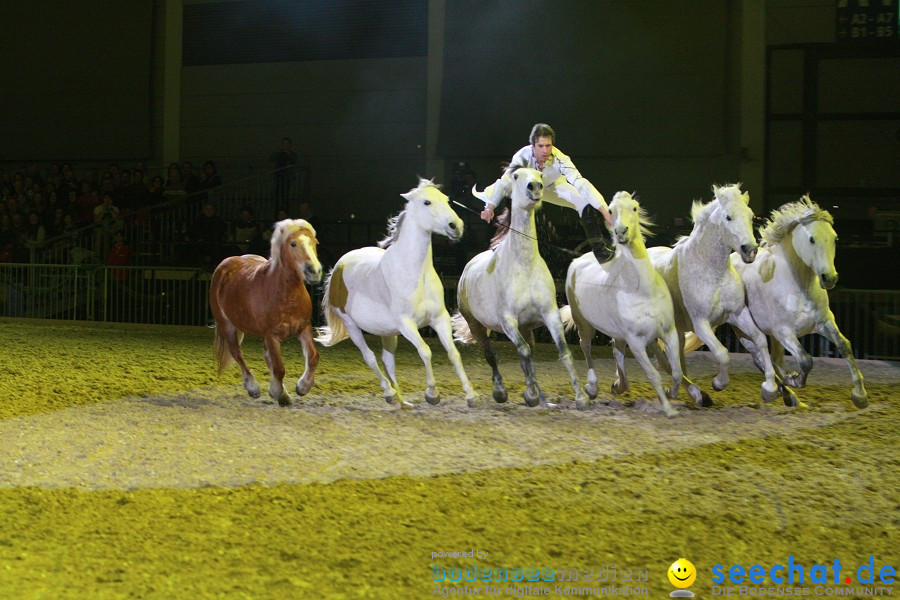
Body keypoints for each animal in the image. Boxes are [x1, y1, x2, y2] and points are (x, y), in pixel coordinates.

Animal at [209, 220, 322, 408]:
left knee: (265, 356)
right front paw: (278, 393)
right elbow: (279, 368)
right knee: (236, 353)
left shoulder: (304, 328)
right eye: (293, 244)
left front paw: (302, 387)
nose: (314, 271)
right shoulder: (271, 335)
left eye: (314, 243)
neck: (286, 294)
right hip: (227, 325)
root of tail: (225, 264)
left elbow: (313, 356)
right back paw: (253, 387)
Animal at [314, 178, 478, 408]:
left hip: (387, 332)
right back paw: (389, 392)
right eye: (426, 202)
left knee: (387, 361)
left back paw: (402, 401)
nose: (456, 226)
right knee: (370, 357)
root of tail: (339, 267)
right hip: (351, 325)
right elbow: (425, 351)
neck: (415, 273)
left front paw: (471, 395)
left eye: (446, 200)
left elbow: (453, 353)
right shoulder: (406, 324)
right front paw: (432, 393)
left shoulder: (439, 318)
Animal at [450, 165, 592, 408]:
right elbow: (522, 351)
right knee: (491, 354)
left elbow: (563, 352)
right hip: (476, 324)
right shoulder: (508, 321)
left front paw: (580, 397)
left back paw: (540, 396)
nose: (535, 187)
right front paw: (530, 394)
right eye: (516, 176)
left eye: (540, 175)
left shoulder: (549, 315)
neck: (524, 266)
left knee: (529, 355)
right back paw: (501, 392)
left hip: (526, 328)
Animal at [564, 192, 684, 418]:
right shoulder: (636, 342)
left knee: (616, 349)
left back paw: (618, 386)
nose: (621, 232)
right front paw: (669, 409)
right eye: (611, 210)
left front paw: (671, 394)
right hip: (583, 323)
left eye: (634, 208)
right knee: (586, 346)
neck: (642, 290)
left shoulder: (669, 332)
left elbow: (676, 372)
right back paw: (591, 388)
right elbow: (654, 375)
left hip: (617, 332)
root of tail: (577, 261)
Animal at [736, 196, 868, 408]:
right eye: (811, 239)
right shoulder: (783, 332)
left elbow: (844, 345)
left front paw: (860, 395)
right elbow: (806, 360)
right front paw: (795, 379)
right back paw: (776, 389)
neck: (798, 289)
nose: (829, 278)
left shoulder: (824, 322)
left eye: (835, 238)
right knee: (760, 358)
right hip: (744, 330)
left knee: (775, 360)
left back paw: (789, 396)